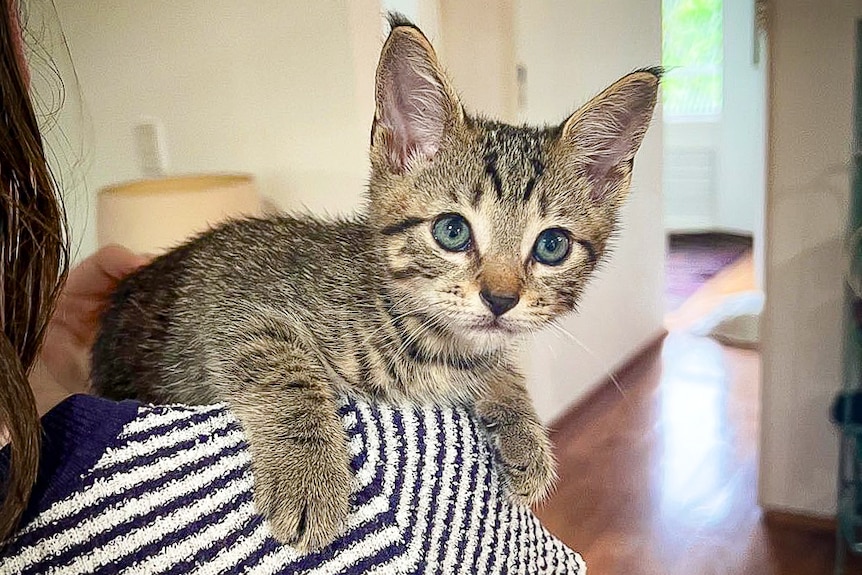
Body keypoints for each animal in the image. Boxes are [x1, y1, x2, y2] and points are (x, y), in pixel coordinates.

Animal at [91, 14, 660, 552]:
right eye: (452, 231)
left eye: (551, 246)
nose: (501, 298)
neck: (430, 345)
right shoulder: (233, 303)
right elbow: (286, 367)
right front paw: (308, 476)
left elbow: (498, 365)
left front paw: (523, 430)